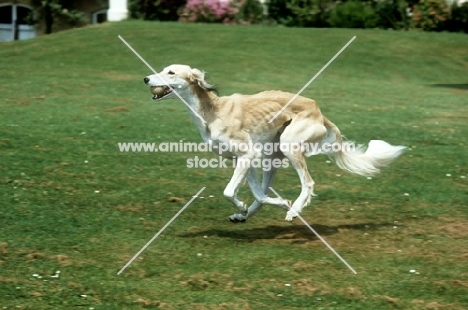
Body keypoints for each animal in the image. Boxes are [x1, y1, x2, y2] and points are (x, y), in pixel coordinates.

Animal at [143, 64, 406, 222]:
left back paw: (294, 210)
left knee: (309, 183)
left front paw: (280, 205)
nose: (145, 78)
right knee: (266, 190)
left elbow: (229, 191)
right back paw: (250, 215)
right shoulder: (242, 159)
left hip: (290, 146)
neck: (212, 111)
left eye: (171, 72)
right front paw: (245, 209)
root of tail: (319, 111)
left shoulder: (247, 155)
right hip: (272, 156)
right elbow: (257, 194)